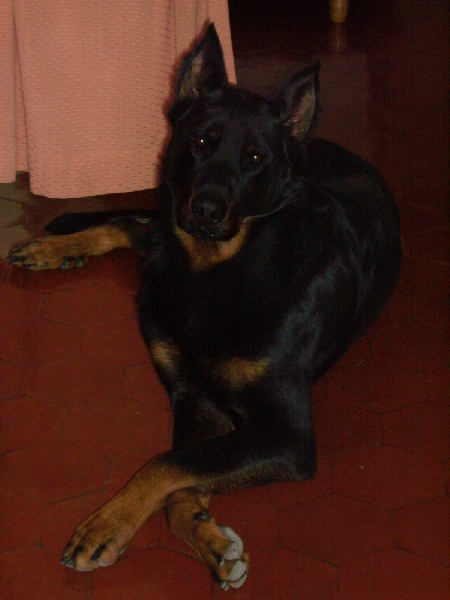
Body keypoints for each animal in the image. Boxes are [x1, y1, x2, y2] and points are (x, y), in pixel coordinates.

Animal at [8, 24, 402, 590]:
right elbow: (176, 467)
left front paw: (117, 526)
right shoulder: (193, 396)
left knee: (137, 228)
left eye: (255, 158)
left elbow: (168, 466)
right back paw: (54, 248)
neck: (212, 272)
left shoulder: (287, 437)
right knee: (133, 225)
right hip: (162, 231)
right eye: (199, 142)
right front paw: (199, 536)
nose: (206, 210)